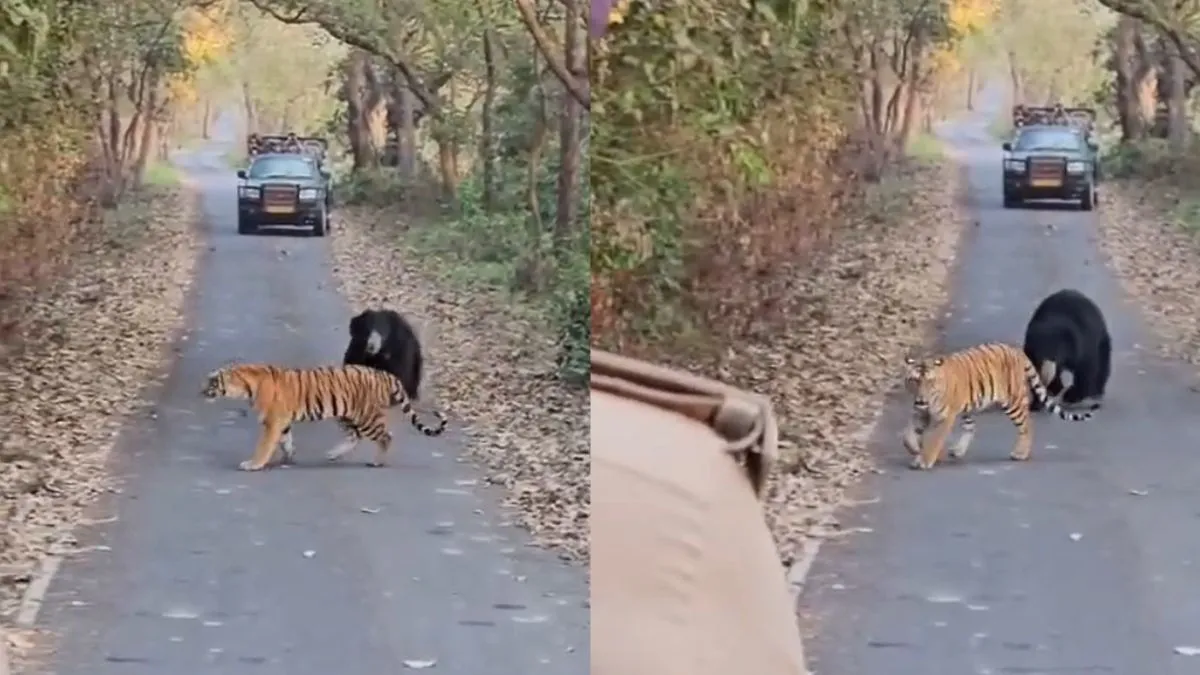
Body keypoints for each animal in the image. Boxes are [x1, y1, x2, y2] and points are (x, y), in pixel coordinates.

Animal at [201, 363, 448, 472]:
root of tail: (384, 374)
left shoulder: (272, 422)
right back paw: (333, 454)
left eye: (211, 382)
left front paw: (253, 464)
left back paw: (377, 462)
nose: (200, 391)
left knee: (386, 436)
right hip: (347, 415)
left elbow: (264, 445)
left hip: (366, 416)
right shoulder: (282, 423)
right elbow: (286, 440)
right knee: (355, 436)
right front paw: (288, 457)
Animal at [902, 342, 1094, 471]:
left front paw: (925, 460)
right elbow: (908, 435)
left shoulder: (943, 417)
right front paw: (915, 450)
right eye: (915, 381)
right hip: (970, 408)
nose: (921, 400)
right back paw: (958, 451)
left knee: (1026, 425)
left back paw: (1020, 453)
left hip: (1013, 402)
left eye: (930, 382)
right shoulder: (918, 412)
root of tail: (1016, 350)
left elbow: (934, 439)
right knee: (971, 427)